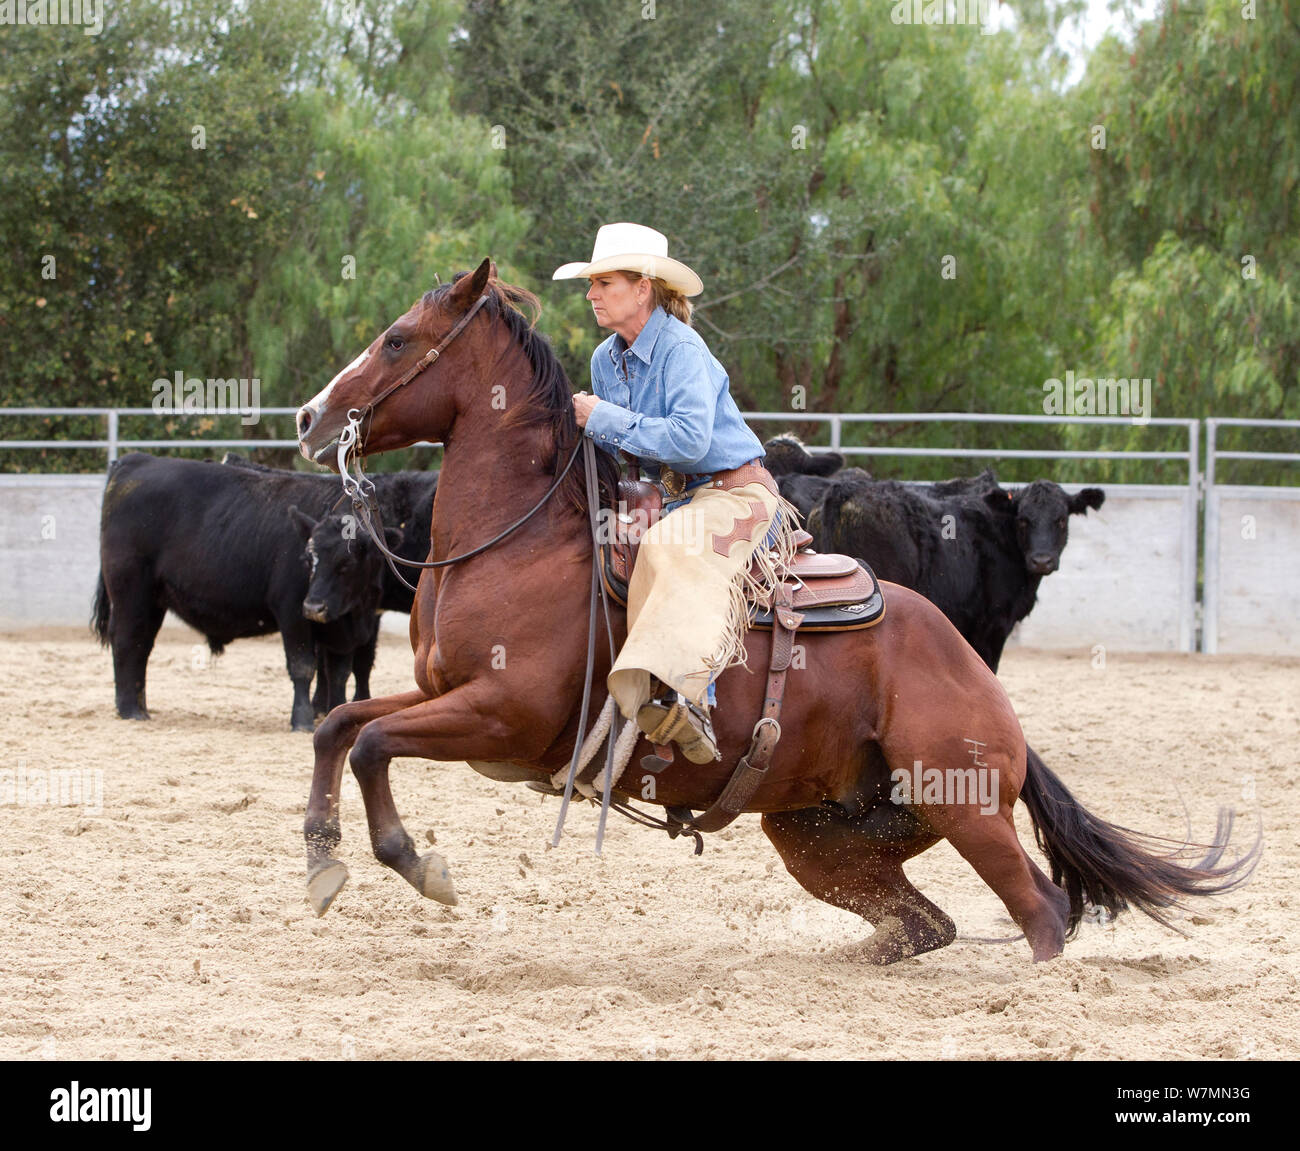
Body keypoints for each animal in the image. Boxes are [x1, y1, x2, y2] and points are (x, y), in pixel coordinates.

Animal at [292, 260, 1258, 964]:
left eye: (397, 338)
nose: (307, 417)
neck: (517, 542)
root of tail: (976, 678)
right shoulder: (441, 696)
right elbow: (341, 724)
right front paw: (322, 858)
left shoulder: (499, 714)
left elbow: (372, 743)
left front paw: (418, 864)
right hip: (820, 835)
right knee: (924, 923)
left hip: (966, 805)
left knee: (1043, 908)